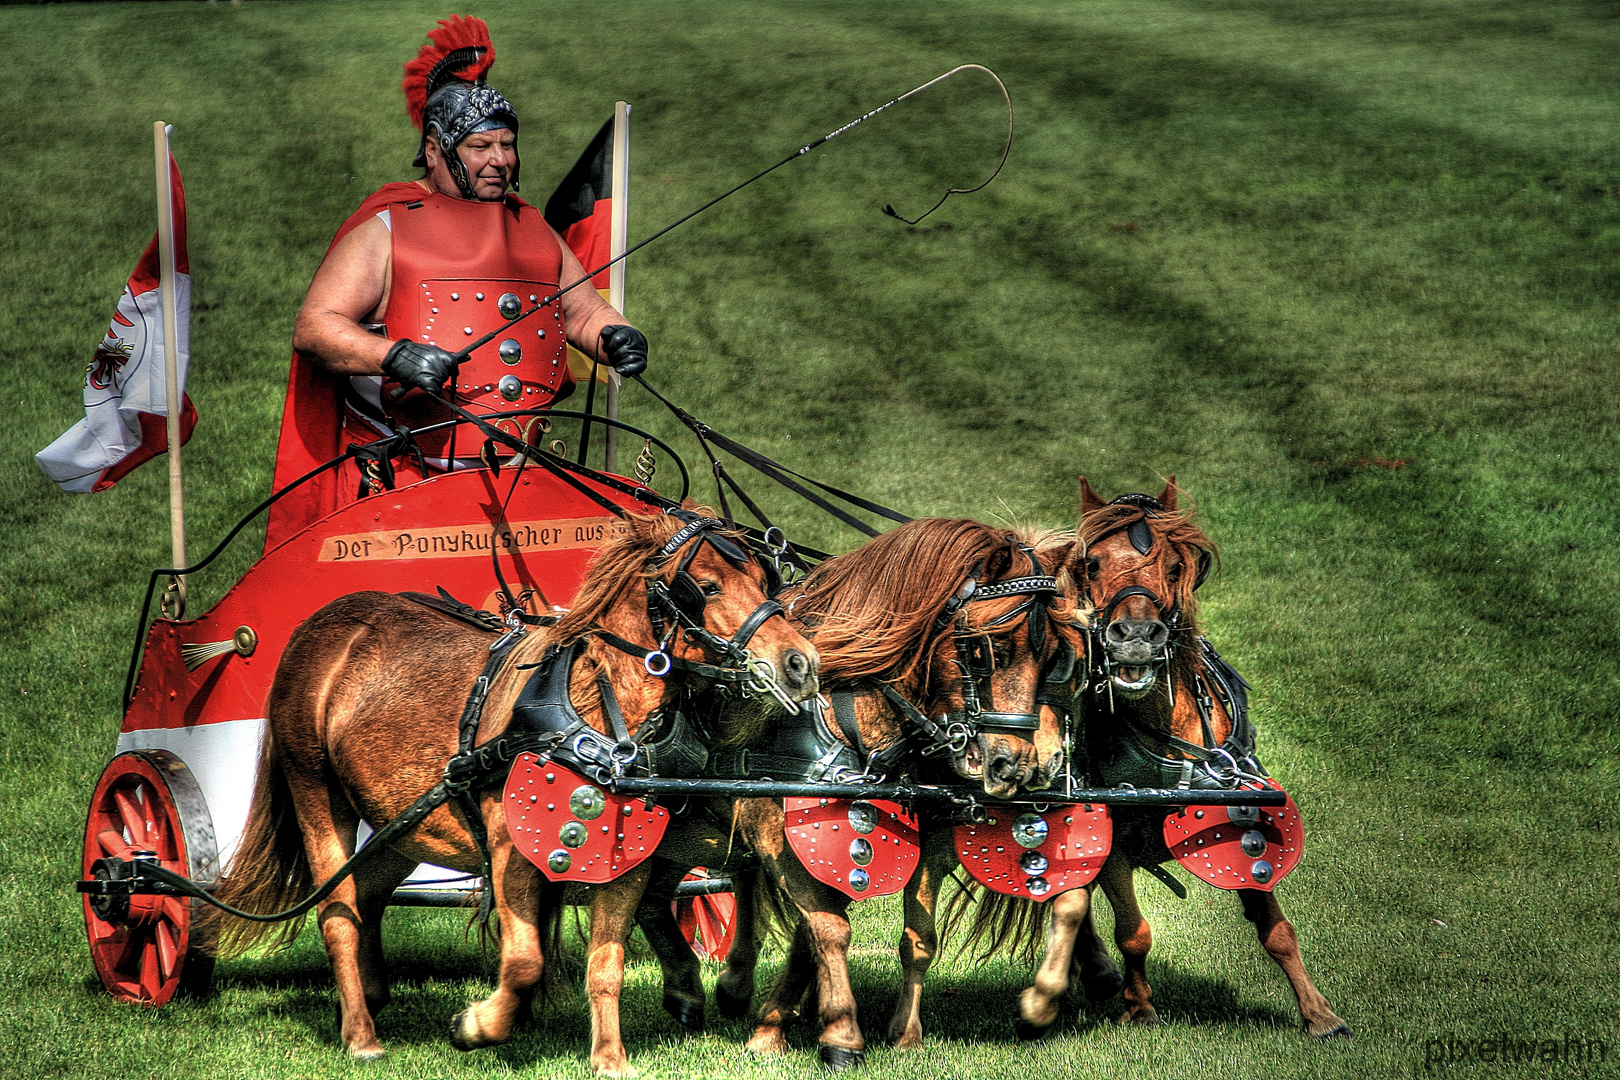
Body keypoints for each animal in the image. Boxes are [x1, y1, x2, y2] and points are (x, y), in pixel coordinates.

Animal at [207, 508, 816, 1062]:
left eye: (764, 581)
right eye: (707, 587)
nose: (802, 663)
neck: (601, 716)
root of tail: (318, 627)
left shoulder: (628, 858)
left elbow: (607, 963)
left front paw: (609, 1058)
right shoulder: (512, 848)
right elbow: (524, 962)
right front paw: (478, 1025)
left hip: (403, 821)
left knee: (370, 894)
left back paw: (372, 997)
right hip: (315, 791)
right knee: (337, 913)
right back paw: (361, 1035)